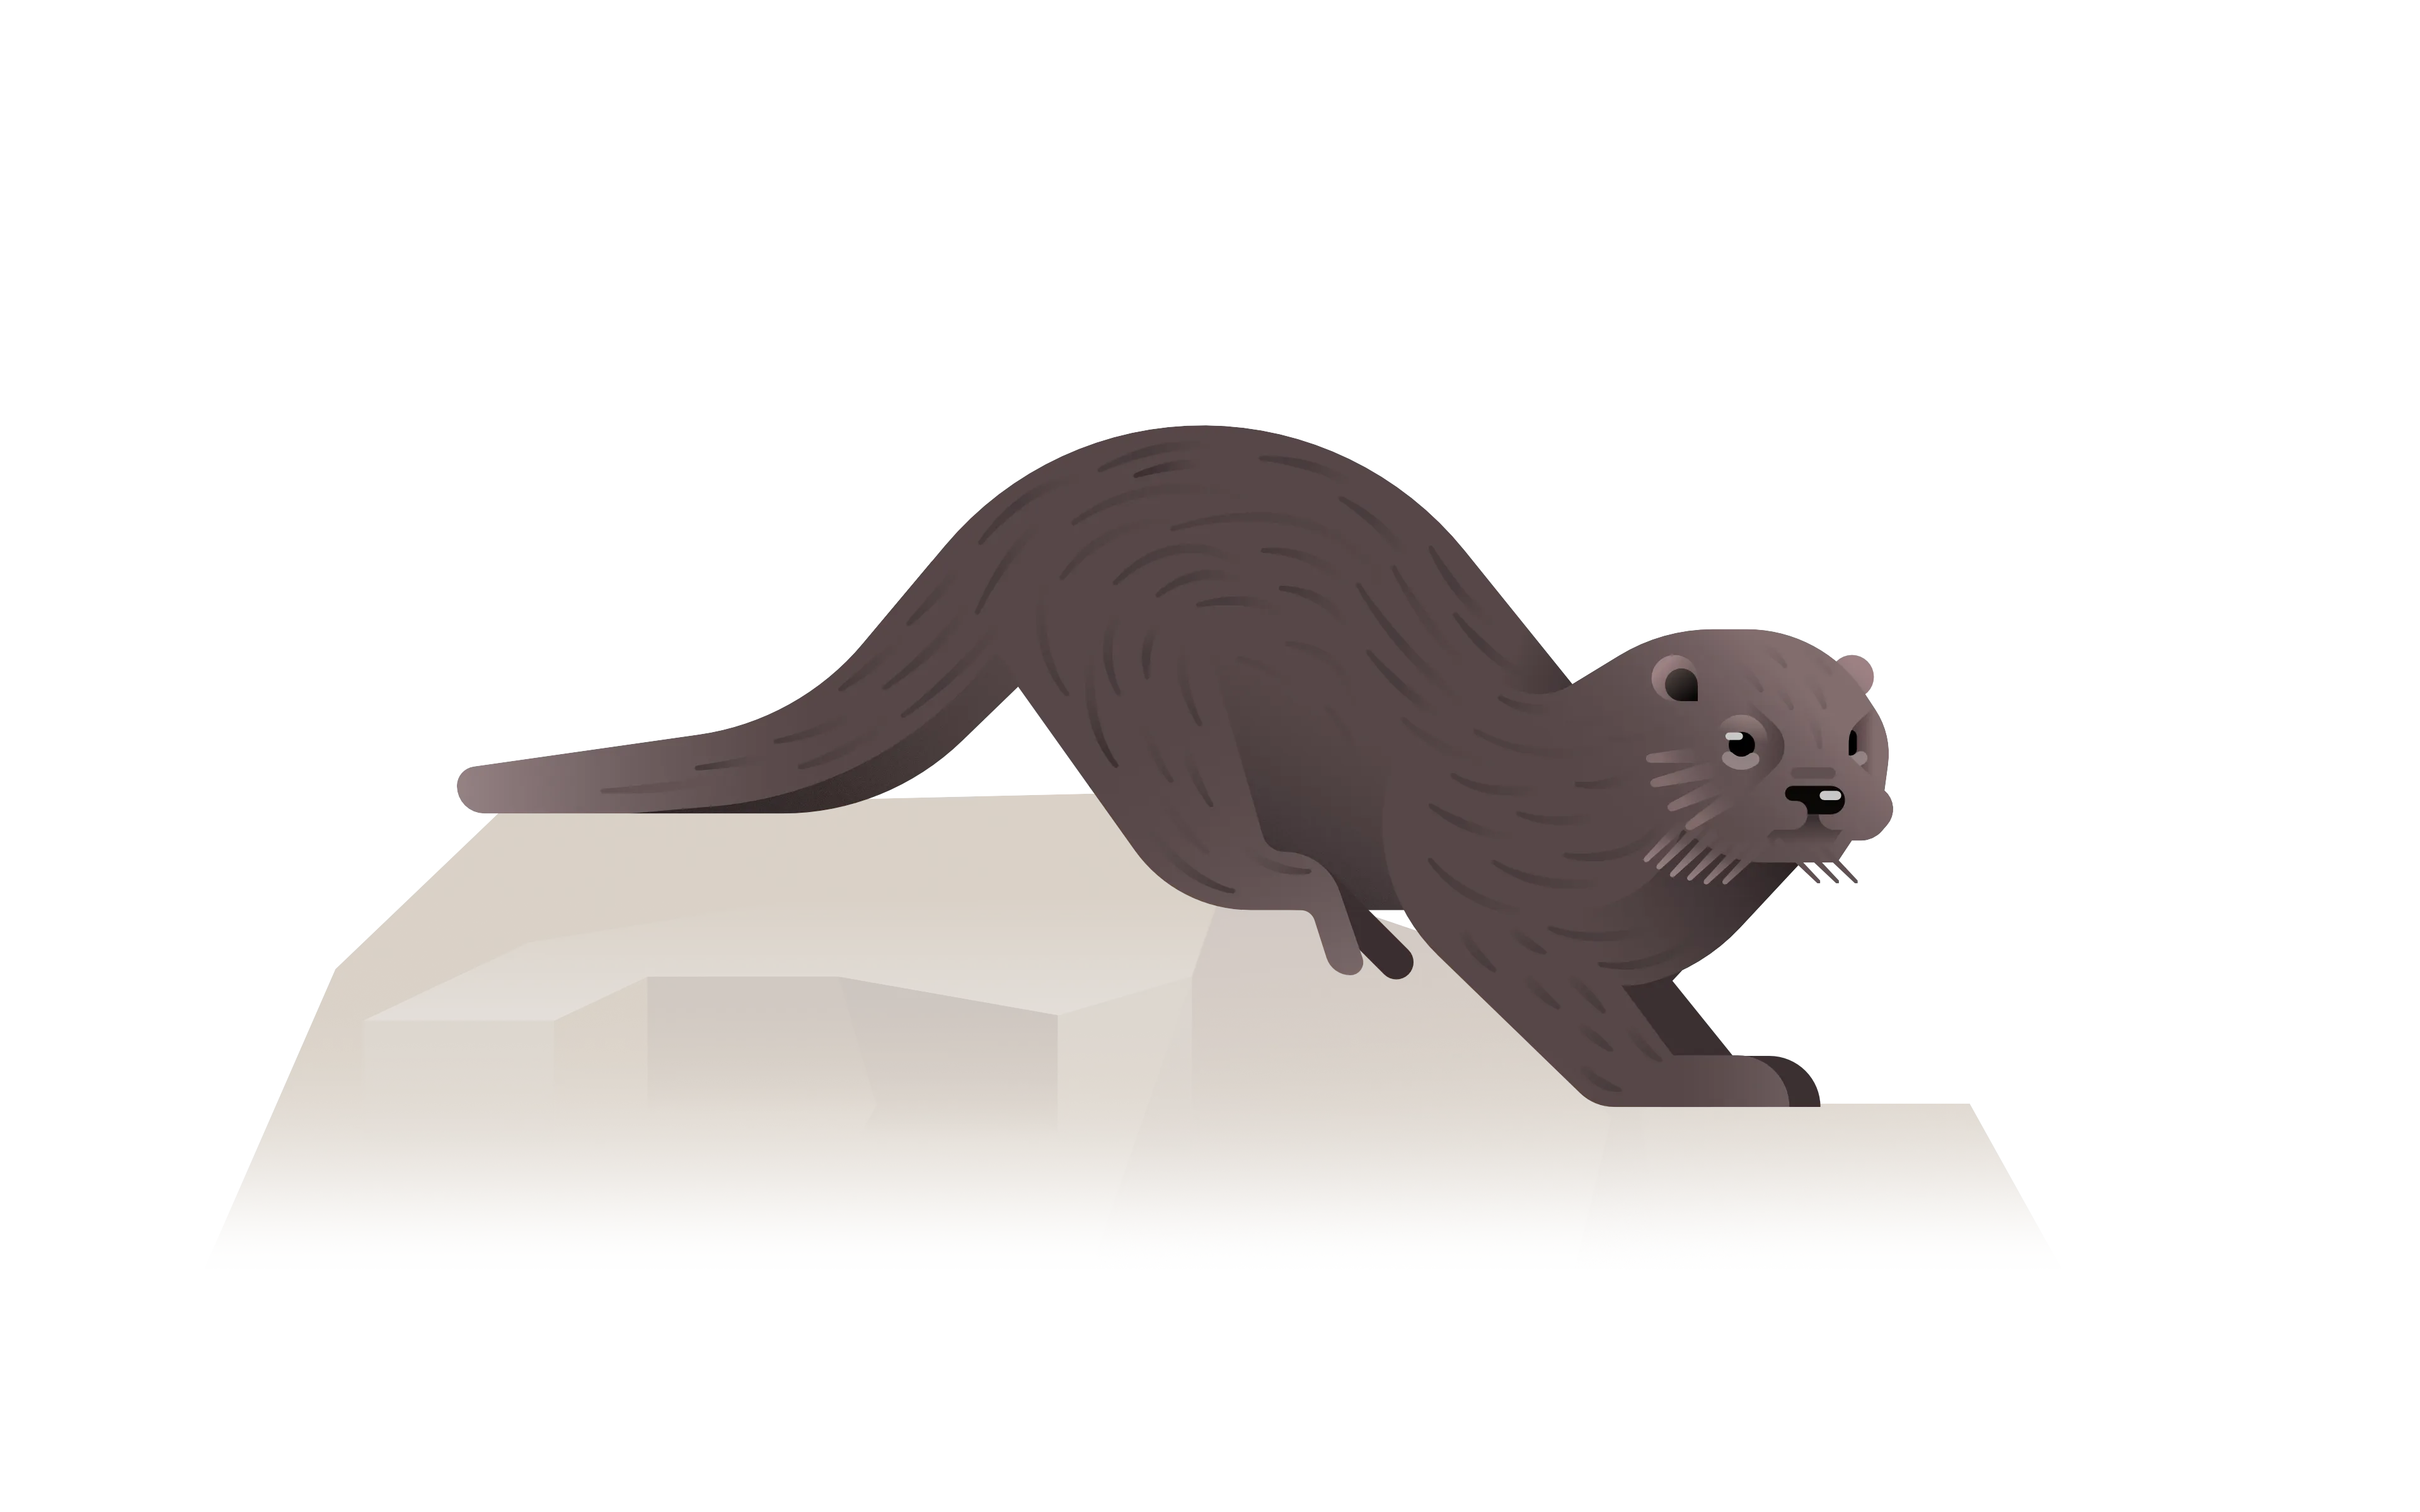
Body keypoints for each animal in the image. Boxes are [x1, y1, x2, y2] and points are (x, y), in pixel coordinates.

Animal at [454, 424, 1894, 1107]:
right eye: (1742, 740)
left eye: (1860, 735)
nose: (1823, 794)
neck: (1582, 818)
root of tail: (1018, 513)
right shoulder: (1490, 881)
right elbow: (1575, 1020)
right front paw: (1693, 1088)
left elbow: (1665, 1003)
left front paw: (1757, 1061)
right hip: (1137, 684)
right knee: (1197, 843)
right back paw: (1337, 915)